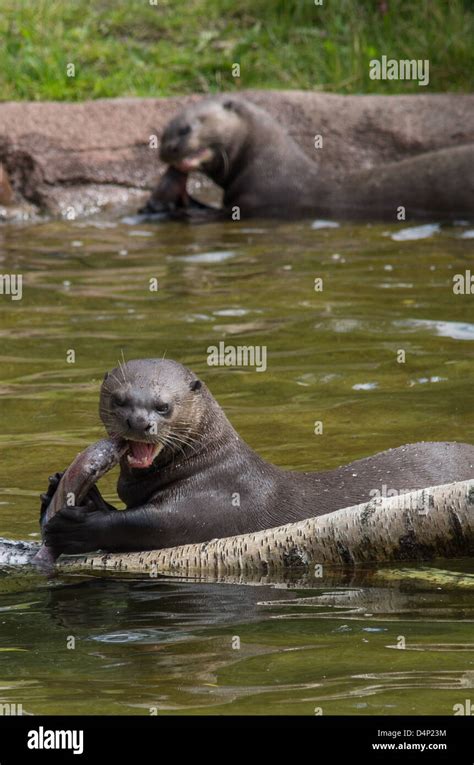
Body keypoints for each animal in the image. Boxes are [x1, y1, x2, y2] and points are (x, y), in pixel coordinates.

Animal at [42, 358, 474, 556]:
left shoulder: (213, 502)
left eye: (164, 406)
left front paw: (76, 526)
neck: (209, 464)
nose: (138, 422)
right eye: (119, 400)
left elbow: (145, 523)